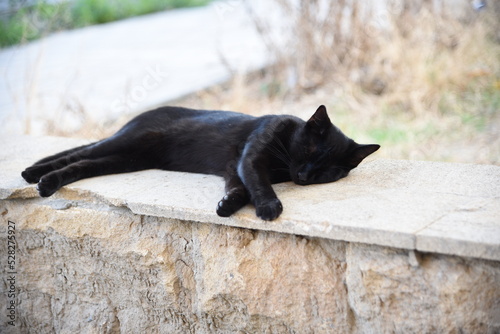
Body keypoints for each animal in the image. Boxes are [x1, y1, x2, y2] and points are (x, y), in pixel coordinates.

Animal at [20, 104, 378, 219]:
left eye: (326, 172)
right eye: (308, 152)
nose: (303, 175)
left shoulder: (234, 168)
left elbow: (240, 188)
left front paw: (227, 205)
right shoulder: (251, 157)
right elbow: (258, 183)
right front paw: (268, 207)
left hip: (125, 159)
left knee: (82, 164)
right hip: (127, 142)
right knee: (77, 154)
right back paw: (37, 176)